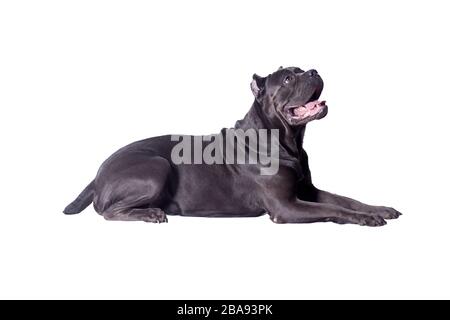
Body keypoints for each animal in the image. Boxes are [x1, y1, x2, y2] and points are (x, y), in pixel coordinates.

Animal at [64, 66, 400, 226]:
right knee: (106, 211)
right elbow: (333, 208)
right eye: (288, 79)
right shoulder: (286, 206)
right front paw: (367, 219)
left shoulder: (306, 190)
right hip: (156, 167)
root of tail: (97, 175)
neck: (287, 139)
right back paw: (150, 214)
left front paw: (378, 209)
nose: (314, 70)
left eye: (303, 68)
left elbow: (345, 199)